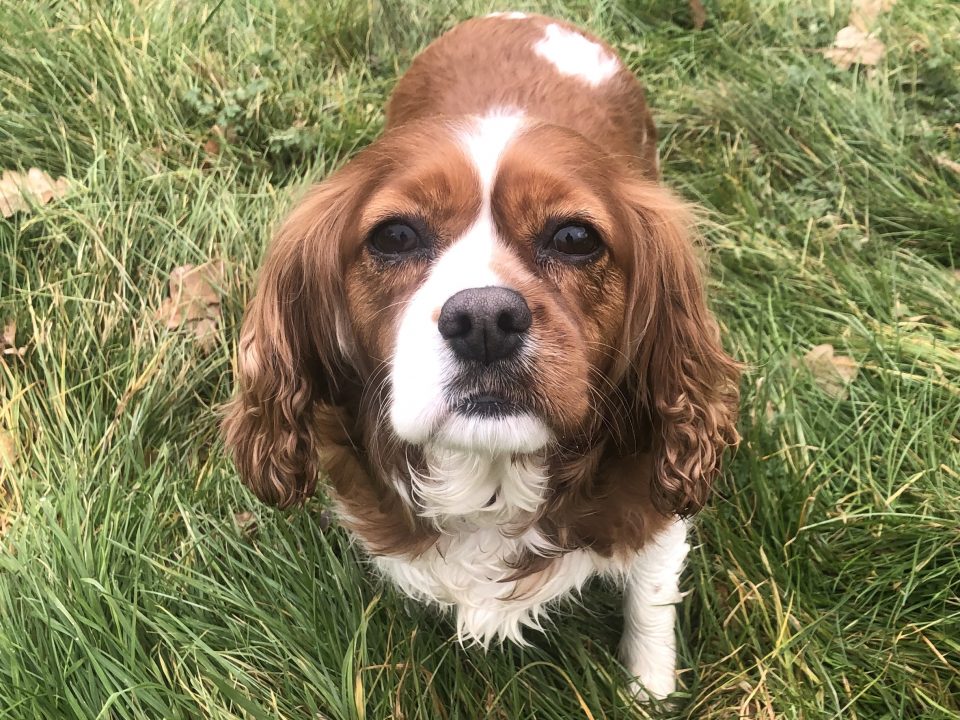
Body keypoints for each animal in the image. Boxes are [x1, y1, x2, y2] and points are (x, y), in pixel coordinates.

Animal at [225, 9, 744, 696]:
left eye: (575, 237)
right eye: (395, 236)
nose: (484, 321)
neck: (492, 480)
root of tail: (528, 16)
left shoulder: (655, 510)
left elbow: (651, 599)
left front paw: (649, 688)